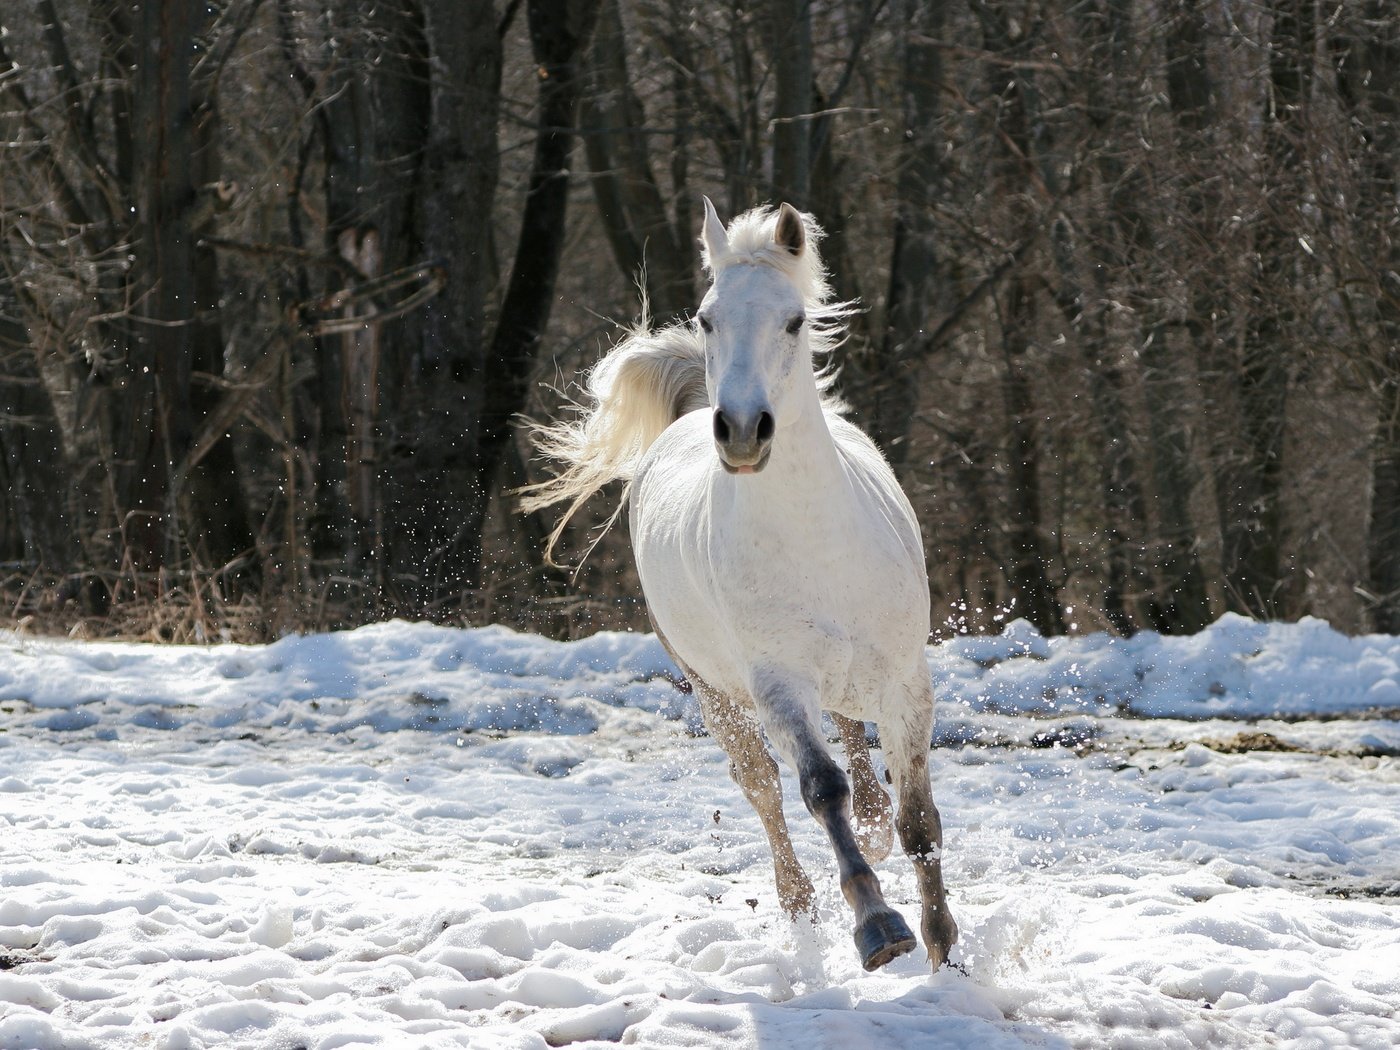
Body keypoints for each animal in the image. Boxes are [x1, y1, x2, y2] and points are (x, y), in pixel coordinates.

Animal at [526, 197, 963, 968]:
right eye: (707, 319)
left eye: (793, 321)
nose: (740, 431)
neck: (815, 537)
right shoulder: (776, 684)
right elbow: (819, 789)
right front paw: (880, 927)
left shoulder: (906, 679)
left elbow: (918, 819)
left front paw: (945, 951)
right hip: (714, 690)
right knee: (762, 786)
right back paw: (799, 903)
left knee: (852, 739)